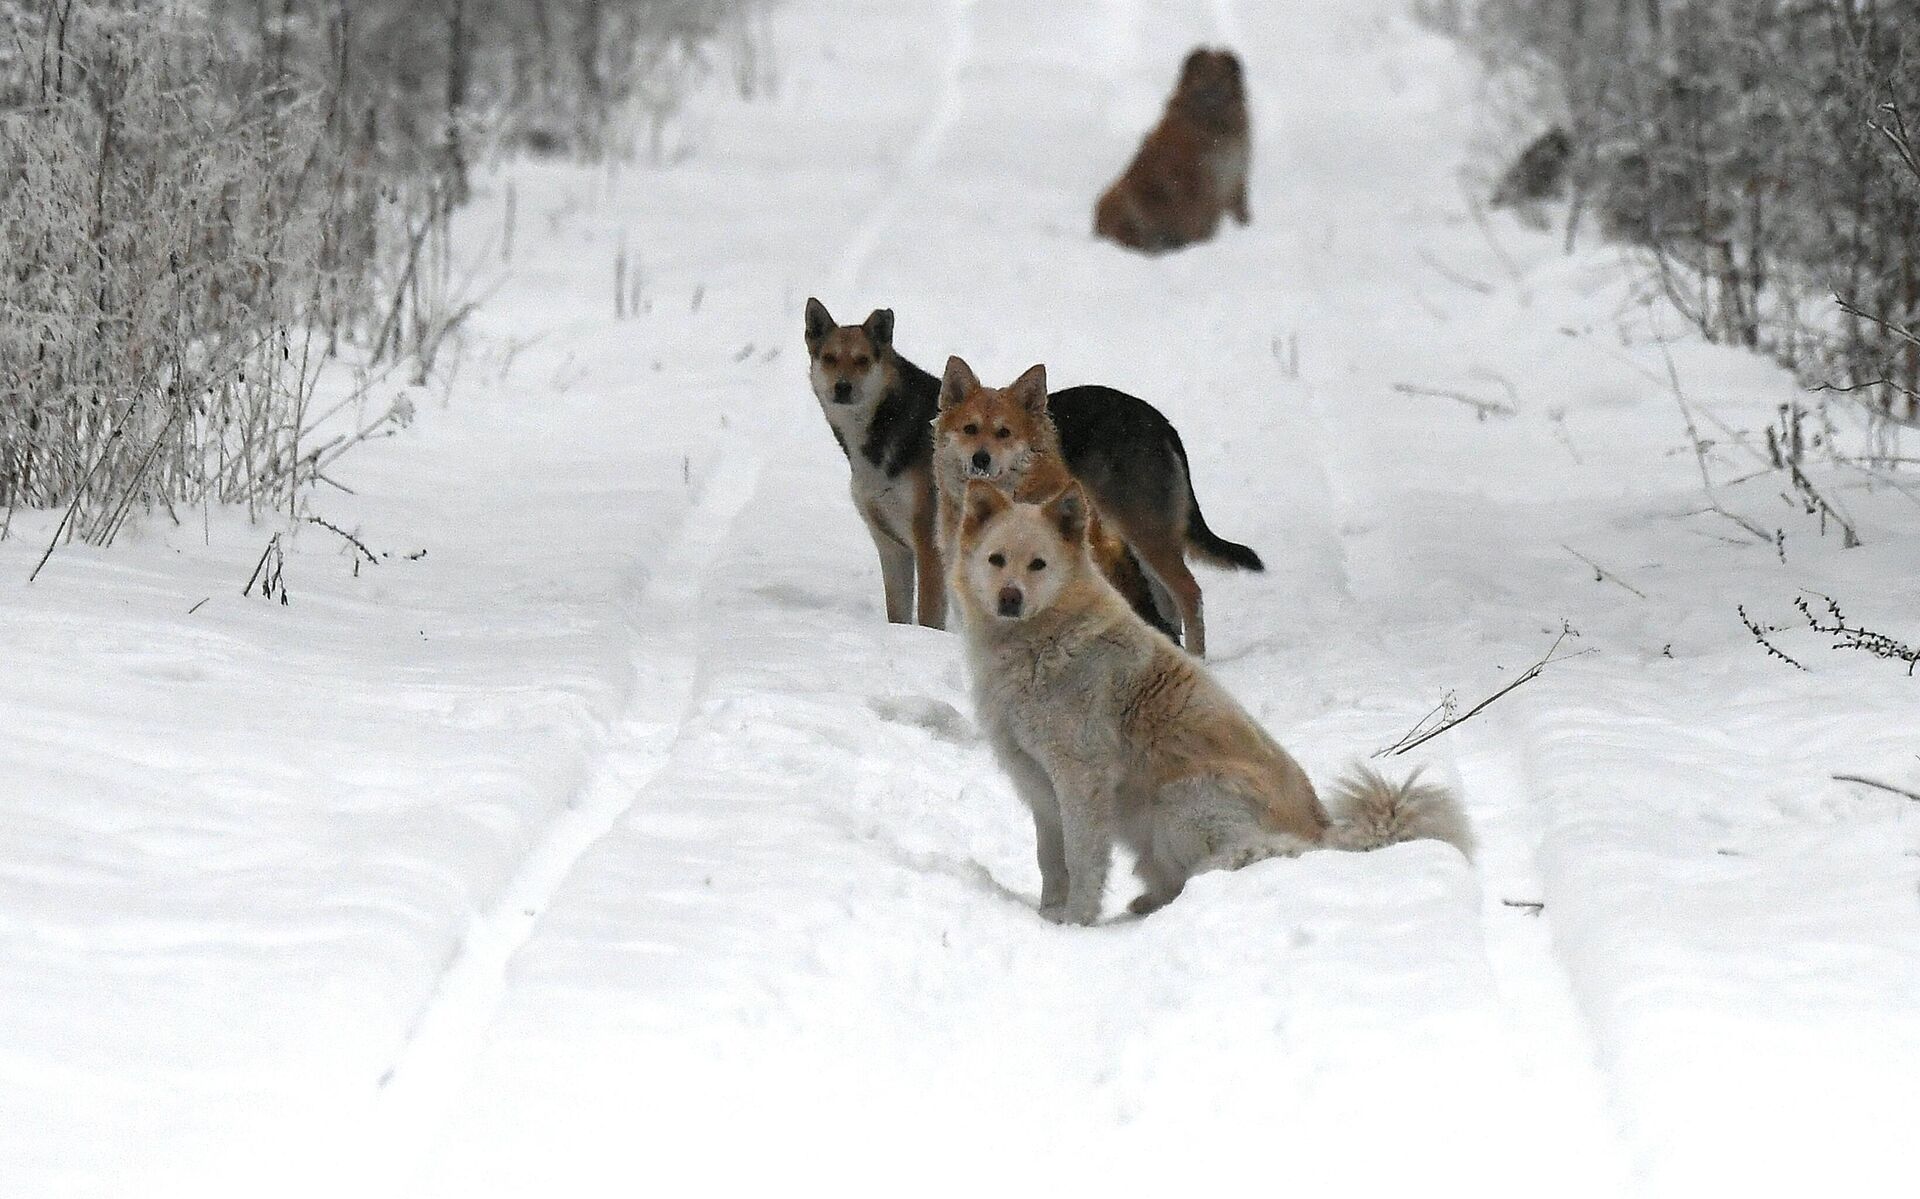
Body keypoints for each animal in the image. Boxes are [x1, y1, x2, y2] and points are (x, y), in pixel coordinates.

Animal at [952, 480, 1474, 926]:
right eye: (997, 560)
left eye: (1038, 564)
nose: (1010, 598)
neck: (1042, 643)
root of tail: (1323, 833)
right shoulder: (1037, 784)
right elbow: (1050, 860)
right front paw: (1047, 916)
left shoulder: (1081, 780)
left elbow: (1083, 861)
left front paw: (1076, 923)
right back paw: (1149, 901)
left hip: (1180, 800)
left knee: (1247, 857)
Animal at [1090, 48, 1251, 253]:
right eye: (1201, 75)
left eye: (1222, 76)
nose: (1212, 91)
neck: (1211, 124)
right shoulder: (1195, 185)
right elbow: (1196, 221)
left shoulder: (1235, 179)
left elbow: (1241, 212)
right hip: (1123, 200)